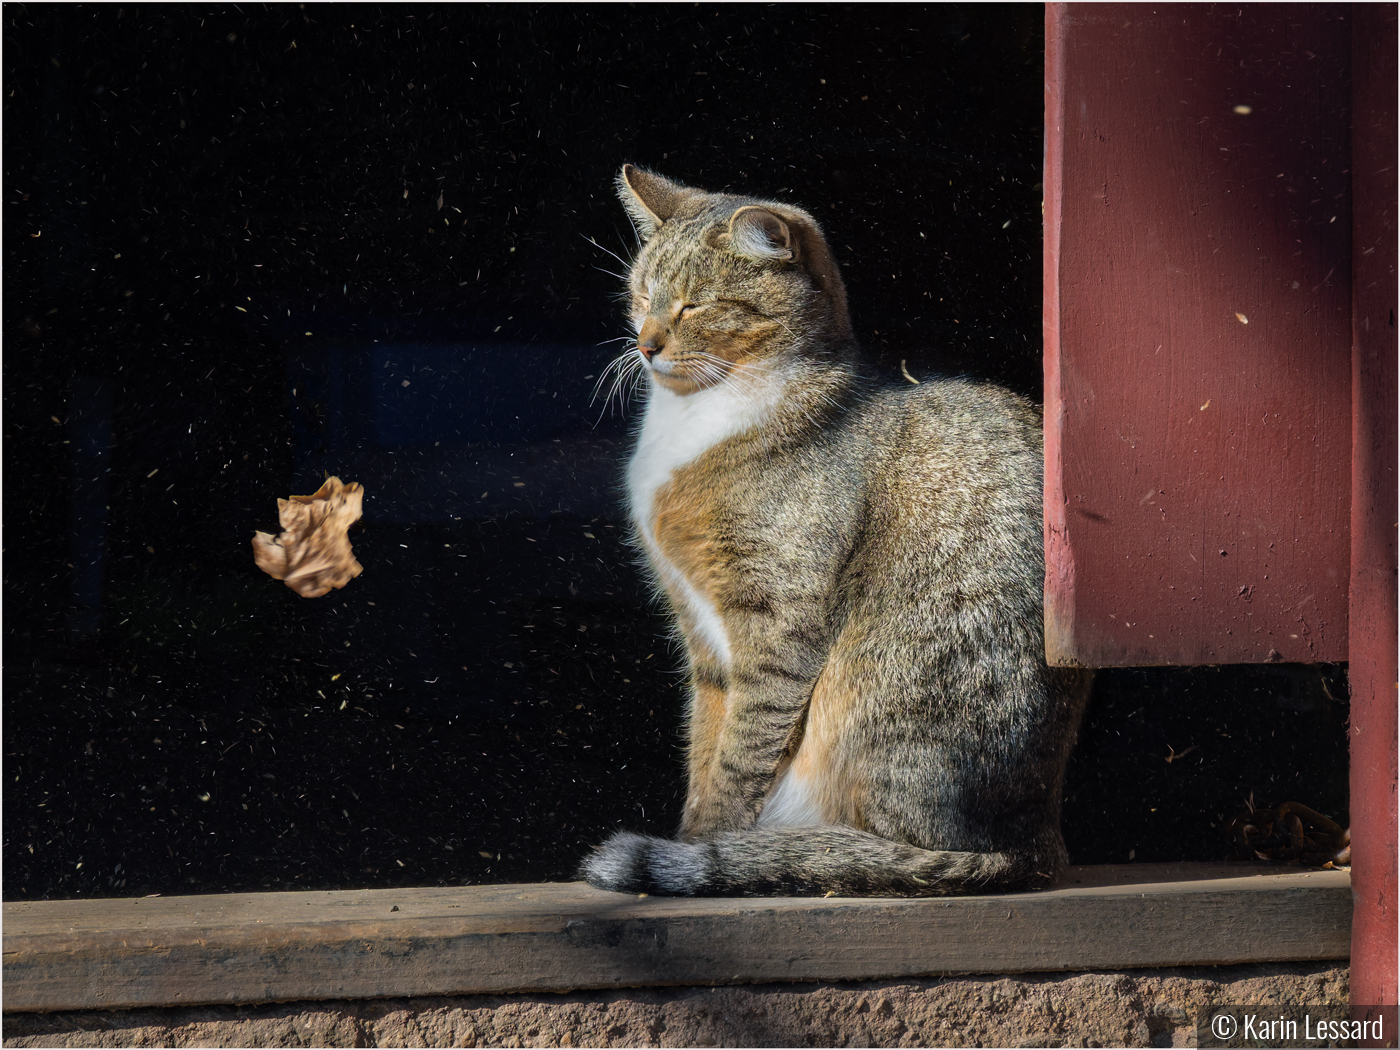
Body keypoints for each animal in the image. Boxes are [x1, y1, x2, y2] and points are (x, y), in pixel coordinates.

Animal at [579, 164, 1092, 896]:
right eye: (641, 295)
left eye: (694, 306)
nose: (645, 344)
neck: (699, 419)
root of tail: (1035, 845)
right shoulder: (703, 641)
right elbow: (706, 744)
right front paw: (692, 836)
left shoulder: (778, 622)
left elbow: (740, 754)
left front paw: (707, 846)